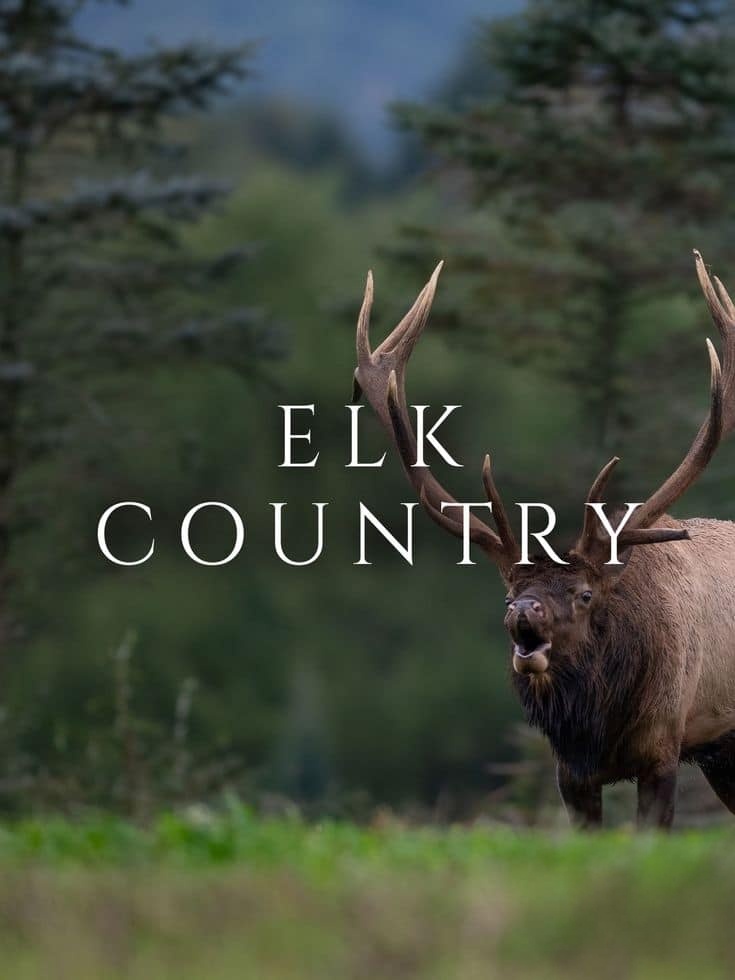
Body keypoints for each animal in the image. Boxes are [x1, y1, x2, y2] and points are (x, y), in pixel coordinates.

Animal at [352, 250, 735, 830]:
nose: (524, 612)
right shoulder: (570, 774)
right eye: (509, 593)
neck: (598, 730)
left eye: (584, 594)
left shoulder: (663, 746)